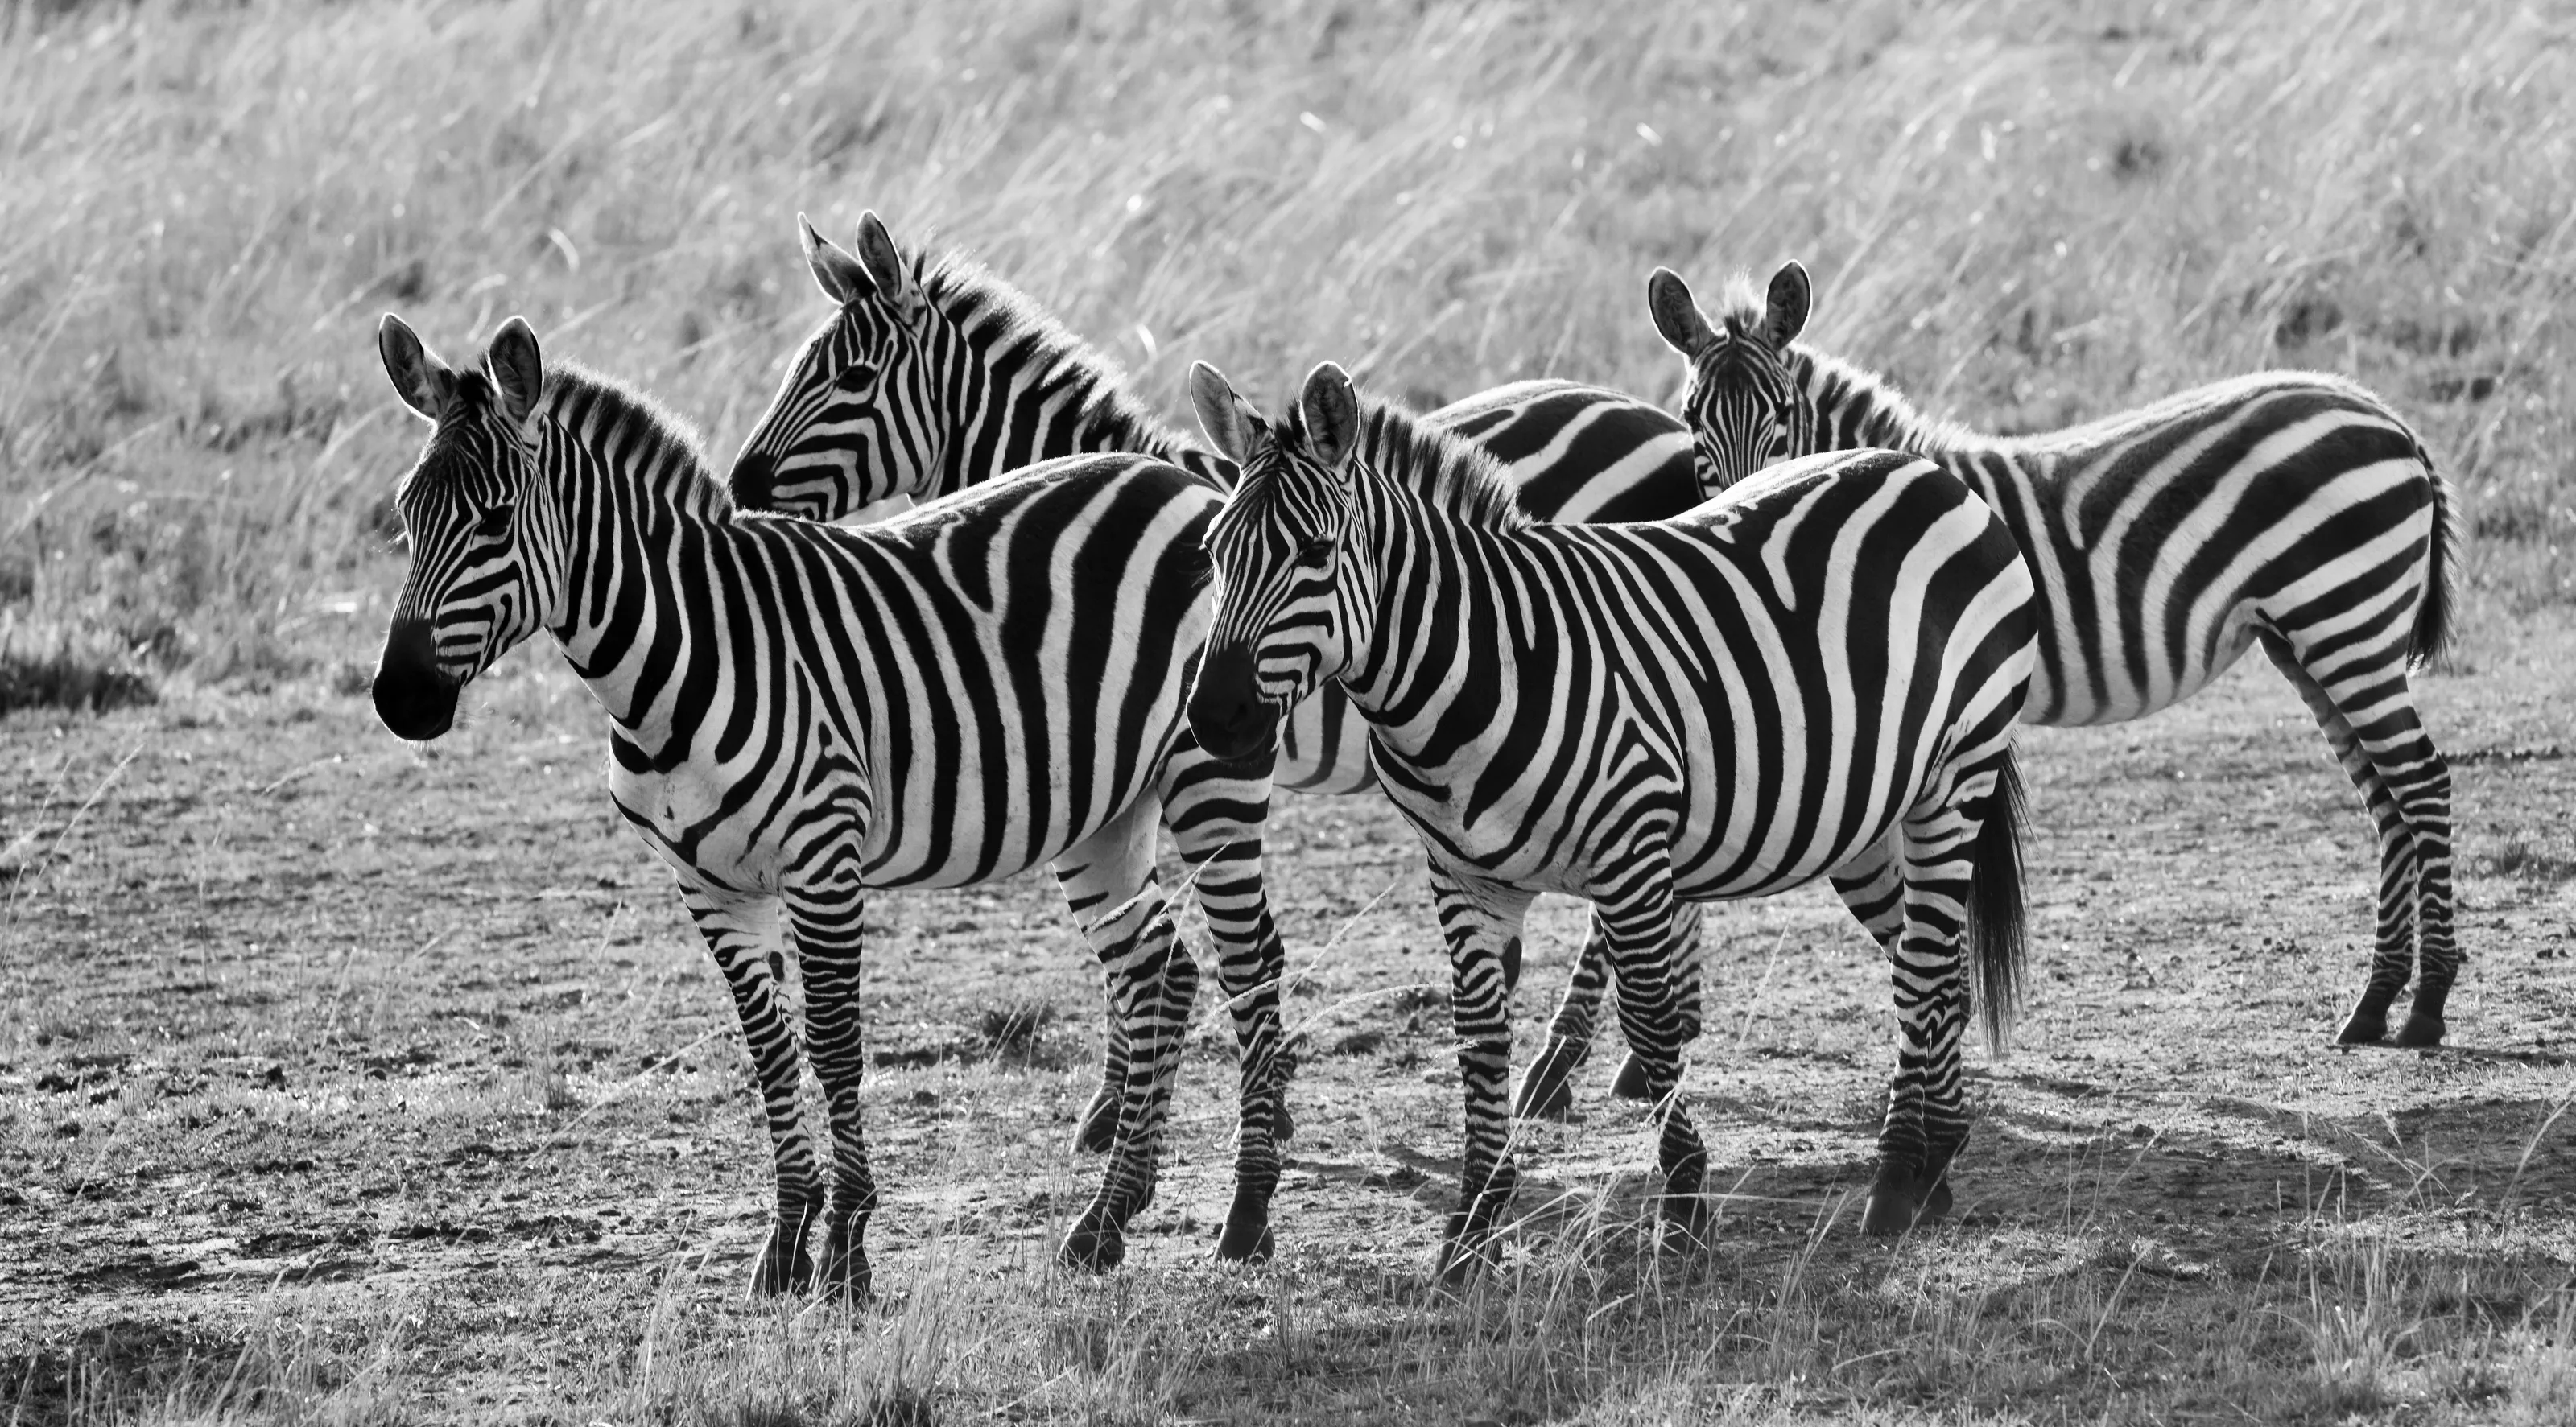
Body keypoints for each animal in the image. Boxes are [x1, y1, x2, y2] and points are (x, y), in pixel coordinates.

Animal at [366, 312, 1300, 1296]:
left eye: (494, 520)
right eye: (406, 515)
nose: (399, 699)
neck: (676, 657)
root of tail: (1180, 477)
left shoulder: (823, 857)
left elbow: (834, 1041)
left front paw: (846, 1250)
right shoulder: (706, 884)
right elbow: (771, 1049)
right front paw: (785, 1244)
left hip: (1210, 778)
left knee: (1248, 964)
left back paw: (1245, 1217)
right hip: (1103, 811)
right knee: (1158, 972)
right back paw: (1106, 1219)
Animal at [724, 210, 1705, 1129]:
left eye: (849, 380)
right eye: (796, 368)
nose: (738, 487)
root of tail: (1655, 417)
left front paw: (1134, 1105)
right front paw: (1132, 1100)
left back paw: (1565, 1065)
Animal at [1182, 359, 2038, 1266]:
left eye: (1315, 553)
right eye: (1211, 554)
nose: (1213, 719)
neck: (1481, 663)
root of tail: (1927, 472)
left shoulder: (1630, 851)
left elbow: (1653, 1024)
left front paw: (1684, 1208)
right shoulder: (1461, 875)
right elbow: (1478, 1038)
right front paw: (1472, 1226)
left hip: (1956, 776)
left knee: (1921, 973)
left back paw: (1898, 1176)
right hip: (1863, 811)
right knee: (1936, 970)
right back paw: (1936, 1161)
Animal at [1646, 261, 2463, 1047]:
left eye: (1783, 414)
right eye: (1691, 420)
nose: (1742, 511)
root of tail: (2387, 416)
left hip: (2346, 622)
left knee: (2422, 783)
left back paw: (2426, 1005)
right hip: (2309, 642)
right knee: (2387, 800)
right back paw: (2375, 1003)